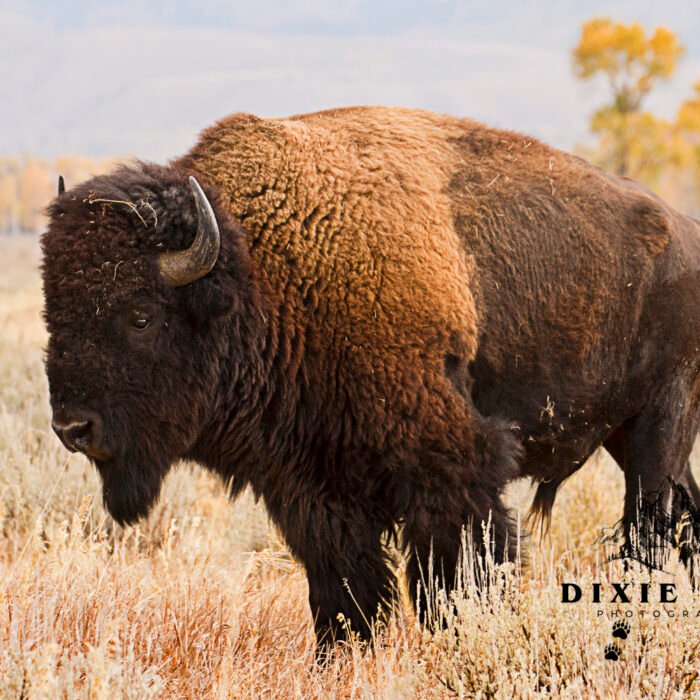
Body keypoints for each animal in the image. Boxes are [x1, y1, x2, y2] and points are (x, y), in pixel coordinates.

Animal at [42, 107, 700, 647]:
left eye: (140, 315)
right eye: (54, 312)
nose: (72, 428)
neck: (263, 272)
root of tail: (685, 233)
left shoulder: (453, 469)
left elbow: (455, 577)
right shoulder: (312, 489)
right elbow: (343, 591)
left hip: (662, 421)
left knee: (650, 522)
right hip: (628, 433)